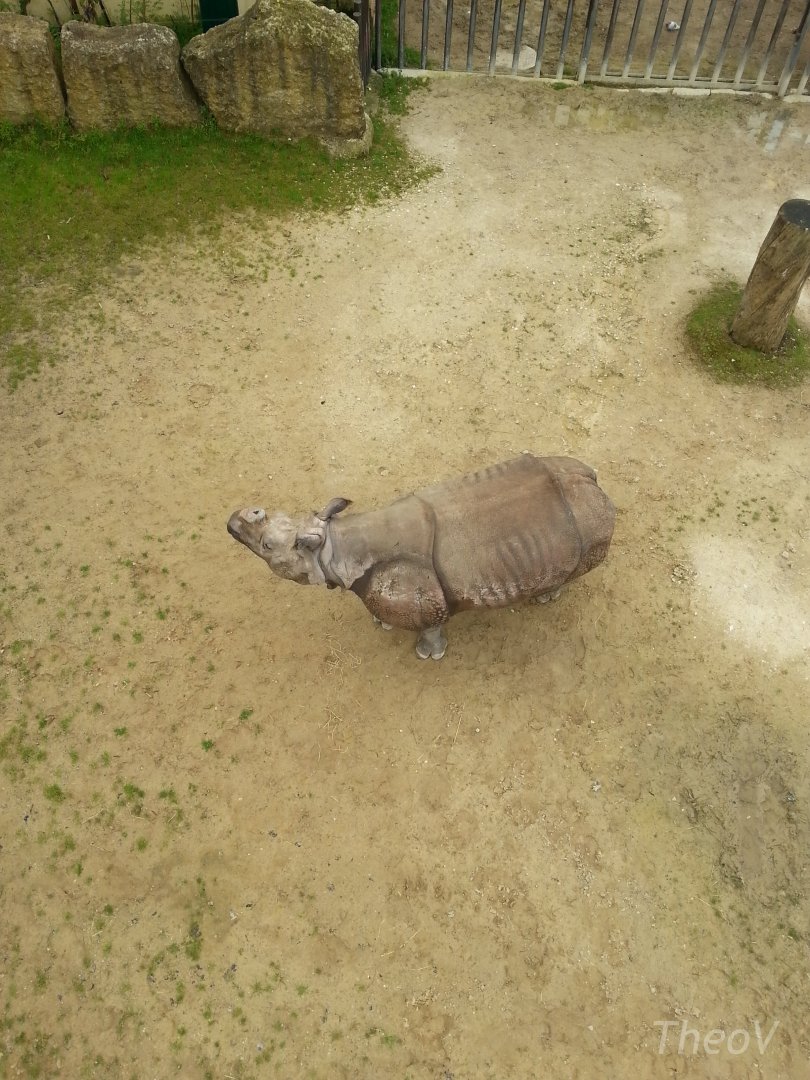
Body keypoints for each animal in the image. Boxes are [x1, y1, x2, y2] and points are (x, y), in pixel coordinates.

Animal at [227, 454, 615, 660]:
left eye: (267, 547)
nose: (233, 521)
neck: (332, 549)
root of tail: (594, 480)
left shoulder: (425, 597)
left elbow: (431, 626)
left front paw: (429, 655)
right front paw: (380, 624)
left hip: (588, 522)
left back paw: (547, 598)